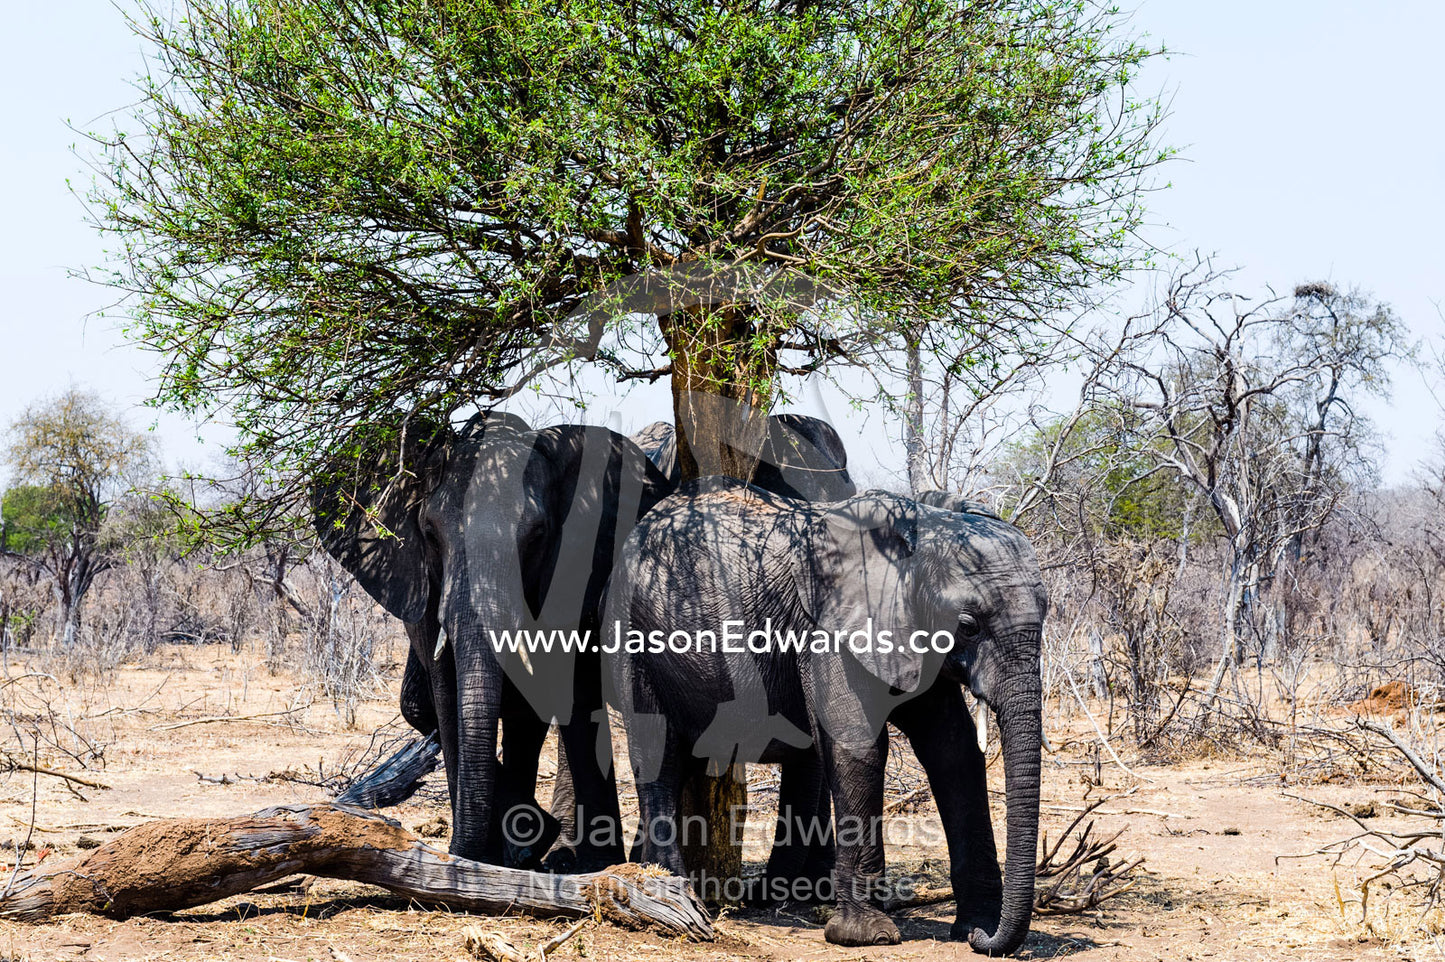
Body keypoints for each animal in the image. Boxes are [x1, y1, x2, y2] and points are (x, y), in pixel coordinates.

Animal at [313, 414, 674, 869]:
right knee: (420, 706)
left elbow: (552, 691)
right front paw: (484, 856)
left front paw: (529, 850)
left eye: (537, 536)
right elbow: (447, 696)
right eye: (429, 533)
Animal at [603, 478, 1046, 954]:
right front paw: (867, 936)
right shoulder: (825, 627)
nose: (985, 939)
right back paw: (670, 890)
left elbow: (953, 751)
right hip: (632, 635)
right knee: (658, 750)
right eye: (967, 625)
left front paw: (972, 927)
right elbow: (858, 745)